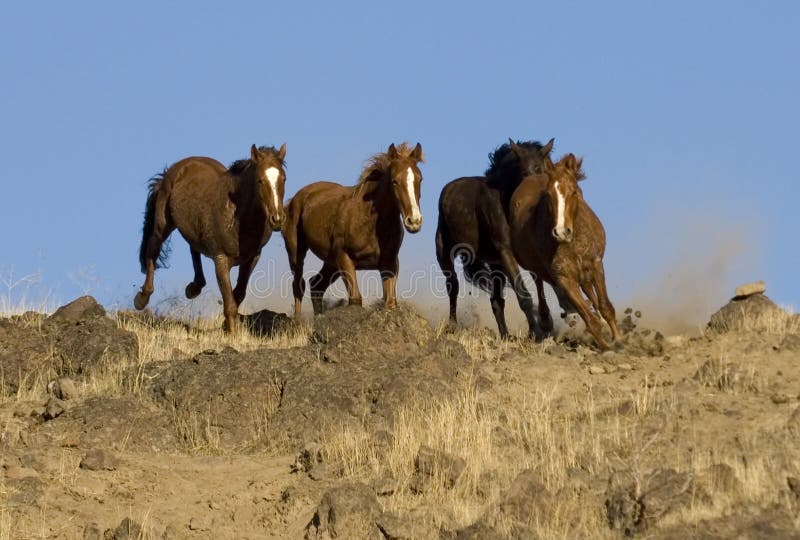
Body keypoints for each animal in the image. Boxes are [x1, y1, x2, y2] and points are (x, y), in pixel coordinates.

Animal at [134, 142, 288, 334]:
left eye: (283, 179)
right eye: (260, 180)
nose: (277, 219)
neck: (238, 216)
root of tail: (173, 170)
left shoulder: (252, 257)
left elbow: (238, 294)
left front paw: (227, 327)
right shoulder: (221, 259)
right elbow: (230, 302)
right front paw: (232, 334)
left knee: (193, 249)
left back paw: (193, 288)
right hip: (162, 226)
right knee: (152, 252)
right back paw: (141, 299)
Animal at [286, 141, 424, 316]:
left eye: (420, 179)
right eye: (394, 181)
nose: (414, 221)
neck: (370, 224)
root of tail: (294, 200)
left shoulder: (389, 264)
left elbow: (390, 302)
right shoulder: (345, 258)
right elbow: (355, 299)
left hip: (330, 263)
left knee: (316, 285)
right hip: (296, 253)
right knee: (298, 286)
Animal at [434, 137, 552, 340]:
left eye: (540, 170)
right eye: (523, 172)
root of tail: (447, 190)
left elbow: (538, 283)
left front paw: (545, 323)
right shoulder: (505, 250)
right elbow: (524, 295)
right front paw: (536, 333)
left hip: (495, 263)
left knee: (496, 300)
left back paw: (506, 335)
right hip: (444, 251)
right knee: (452, 286)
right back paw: (452, 326)